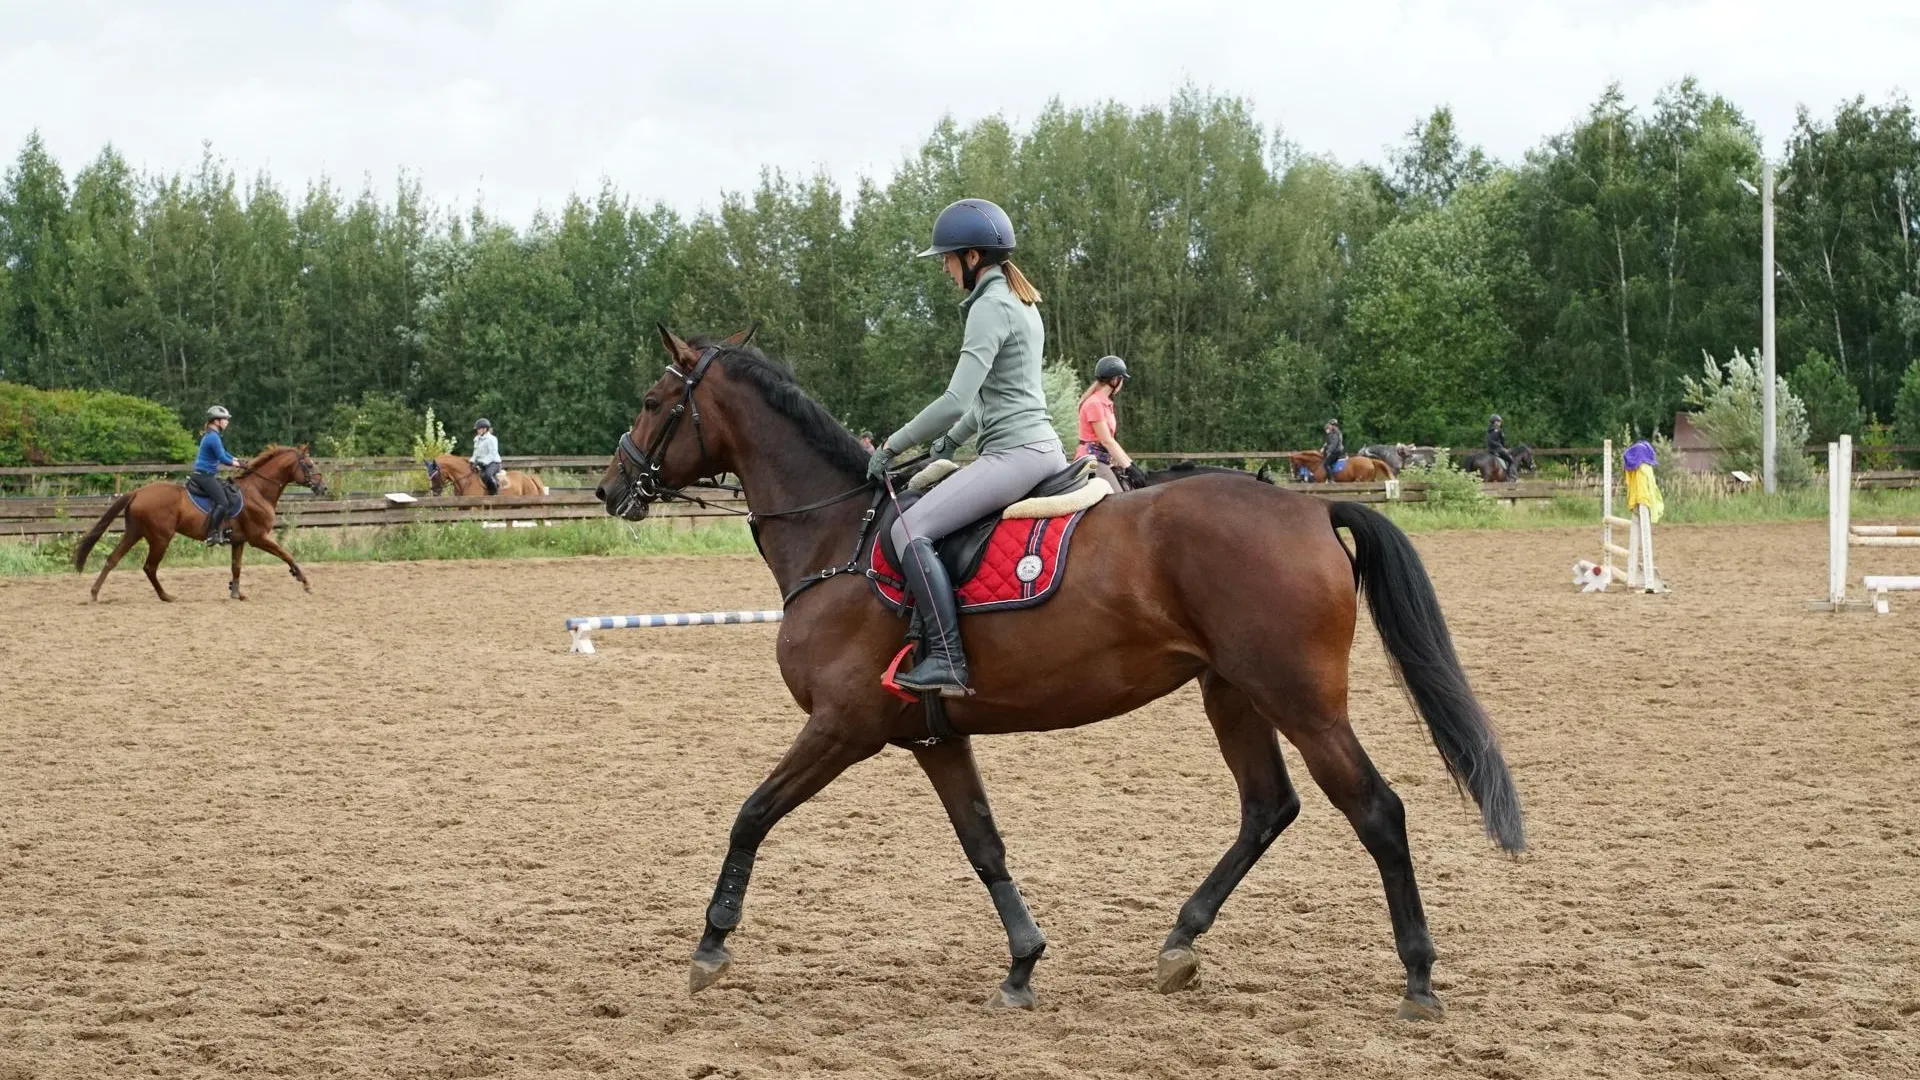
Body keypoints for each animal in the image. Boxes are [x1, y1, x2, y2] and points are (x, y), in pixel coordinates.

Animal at [71, 441, 326, 599]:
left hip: (134, 532)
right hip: (160, 537)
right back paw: (166, 596)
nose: (323, 488)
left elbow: (236, 567)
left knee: (113, 559)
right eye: (310, 464)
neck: (258, 490)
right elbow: (286, 554)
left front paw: (236, 593)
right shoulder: (259, 537)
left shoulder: (239, 541)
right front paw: (304, 581)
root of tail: (138, 492)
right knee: (149, 567)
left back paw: (94, 593)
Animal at [591, 326, 1520, 1014]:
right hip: (1233, 693)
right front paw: (1023, 964)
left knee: (1376, 811)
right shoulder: (933, 738)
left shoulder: (841, 726)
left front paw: (711, 945)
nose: (608, 489)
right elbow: (984, 845)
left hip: (1301, 700)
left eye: (653, 403)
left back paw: (1418, 977)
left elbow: (751, 815)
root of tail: (1311, 510)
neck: (837, 539)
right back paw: (1180, 943)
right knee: (1268, 807)